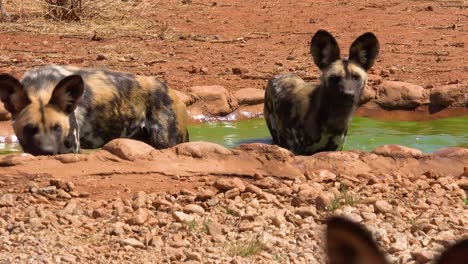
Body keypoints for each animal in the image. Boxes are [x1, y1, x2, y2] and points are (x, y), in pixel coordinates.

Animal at [0, 65, 190, 156]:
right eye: (30, 129)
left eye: (57, 128)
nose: (46, 152)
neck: (41, 87)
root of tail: (169, 90)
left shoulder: (72, 150)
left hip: (164, 142)